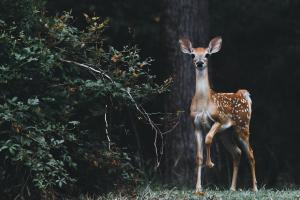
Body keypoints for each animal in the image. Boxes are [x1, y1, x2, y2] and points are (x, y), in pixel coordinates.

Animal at [178, 36, 258, 195]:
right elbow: (198, 156)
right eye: (192, 55)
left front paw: (210, 163)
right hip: (225, 134)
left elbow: (208, 138)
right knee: (237, 152)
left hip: (242, 126)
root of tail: (243, 95)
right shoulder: (196, 125)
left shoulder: (220, 120)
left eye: (207, 54)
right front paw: (198, 189)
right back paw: (232, 188)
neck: (204, 103)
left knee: (250, 154)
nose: (200, 63)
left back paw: (255, 188)